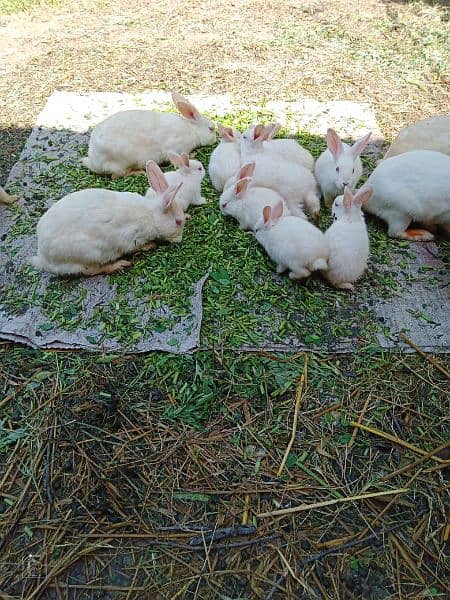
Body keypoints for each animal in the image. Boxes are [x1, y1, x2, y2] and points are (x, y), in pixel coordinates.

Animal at [29, 163, 185, 278]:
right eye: (178, 221)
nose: (180, 240)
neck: (151, 215)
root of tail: (44, 259)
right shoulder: (132, 237)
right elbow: (136, 246)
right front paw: (150, 245)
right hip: (90, 254)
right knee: (91, 271)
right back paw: (118, 265)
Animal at [82, 91, 216, 176]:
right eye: (211, 129)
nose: (215, 139)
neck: (193, 130)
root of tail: (94, 161)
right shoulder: (174, 148)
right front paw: (193, 154)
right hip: (122, 161)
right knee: (117, 175)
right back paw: (138, 173)